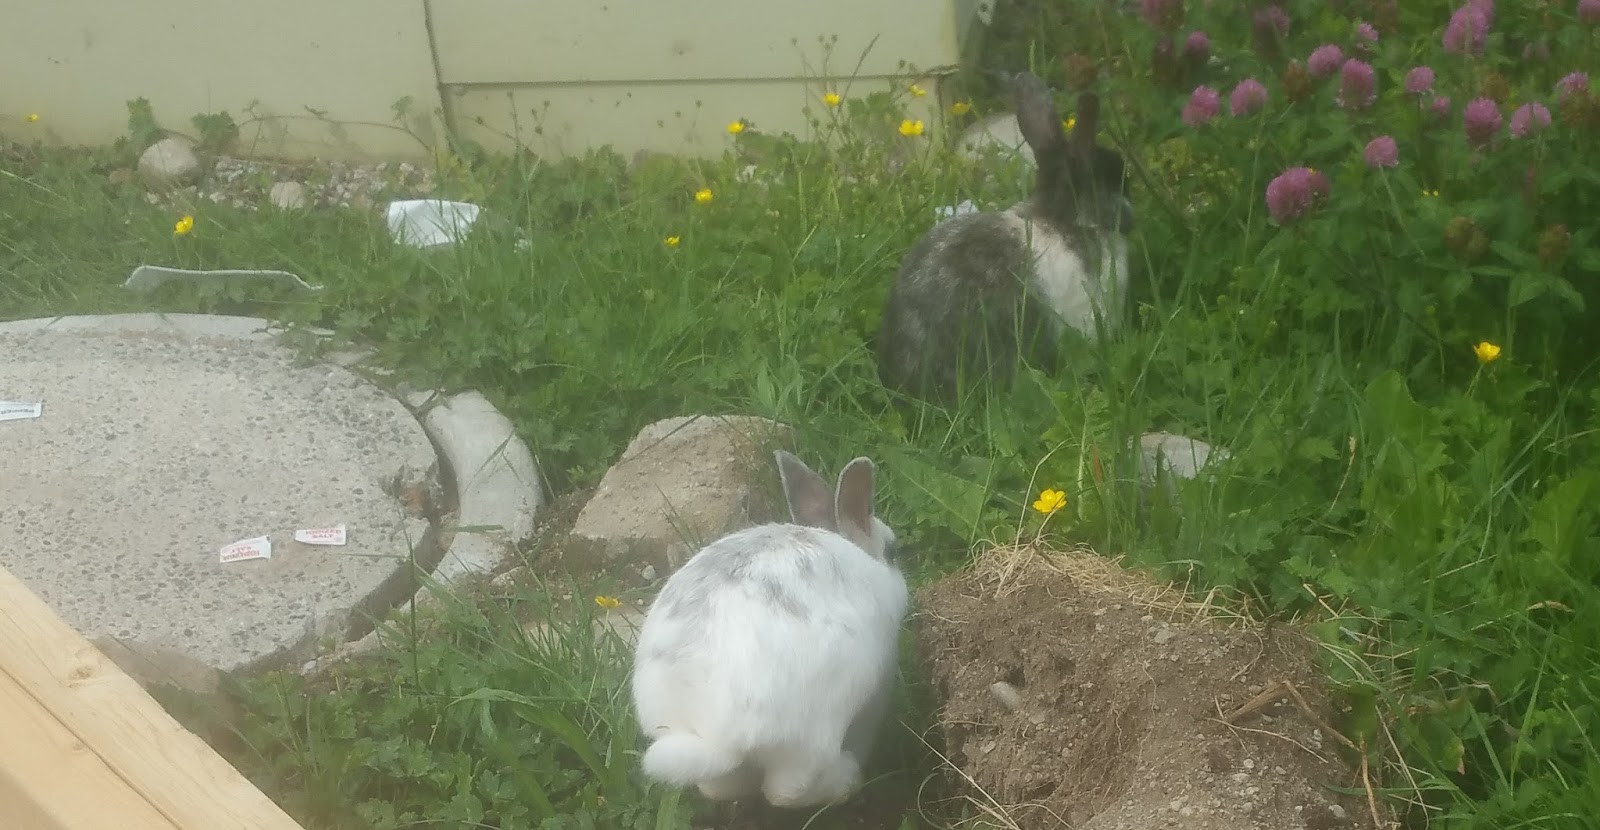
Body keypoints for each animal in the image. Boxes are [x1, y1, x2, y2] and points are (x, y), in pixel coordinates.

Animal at [630, 449, 908, 809]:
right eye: (892, 553)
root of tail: (717, 736)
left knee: (721, 788)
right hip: (812, 739)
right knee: (785, 792)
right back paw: (847, 779)